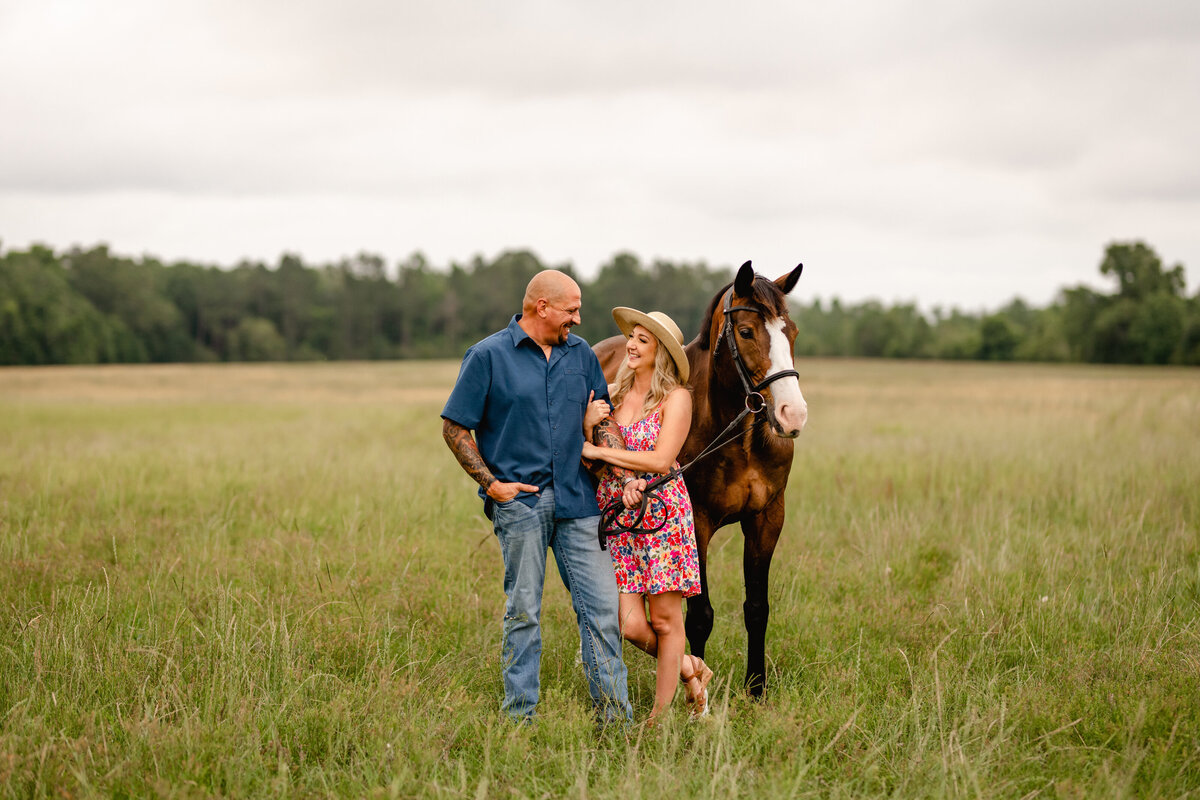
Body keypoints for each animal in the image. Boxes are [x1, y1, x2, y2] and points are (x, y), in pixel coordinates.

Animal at [590, 261, 806, 695]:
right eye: (746, 332)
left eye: (791, 332)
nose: (793, 414)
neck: (737, 436)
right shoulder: (699, 523)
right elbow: (700, 615)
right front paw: (694, 684)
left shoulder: (767, 518)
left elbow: (757, 607)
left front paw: (756, 689)